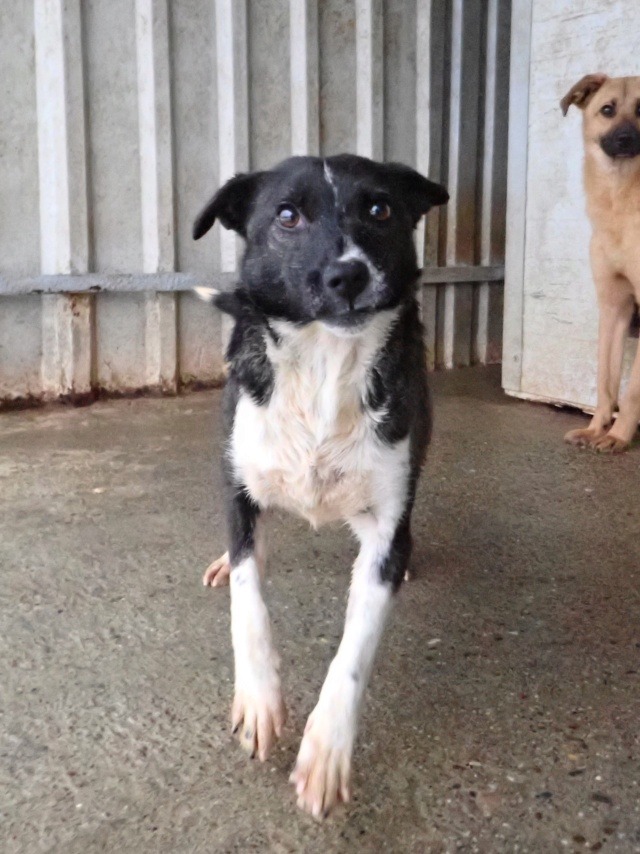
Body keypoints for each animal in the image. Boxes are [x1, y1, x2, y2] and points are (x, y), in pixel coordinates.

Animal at [192, 154, 448, 817]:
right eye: (288, 216)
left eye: (380, 208)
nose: (348, 274)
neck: (325, 366)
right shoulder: (237, 487)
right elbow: (248, 602)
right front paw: (259, 699)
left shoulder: (385, 526)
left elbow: (354, 650)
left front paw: (327, 750)